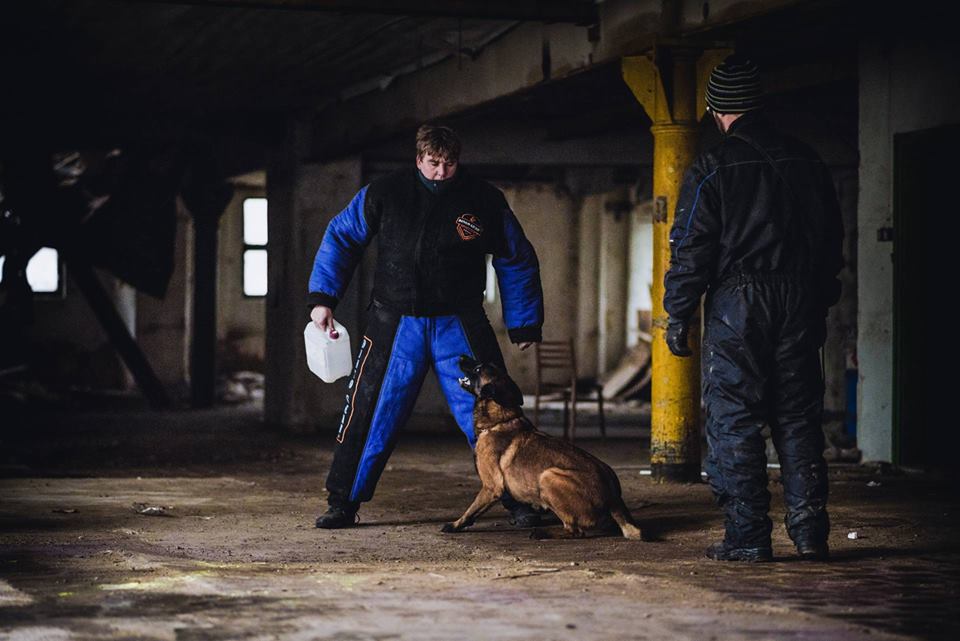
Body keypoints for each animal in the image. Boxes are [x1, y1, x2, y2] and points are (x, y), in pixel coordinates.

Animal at [442, 358, 644, 536]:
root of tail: (614, 498)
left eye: (478, 369)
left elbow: (471, 509)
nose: (461, 356)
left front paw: (455, 525)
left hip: (548, 476)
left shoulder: (492, 487)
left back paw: (542, 533)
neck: (501, 420)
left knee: (574, 530)